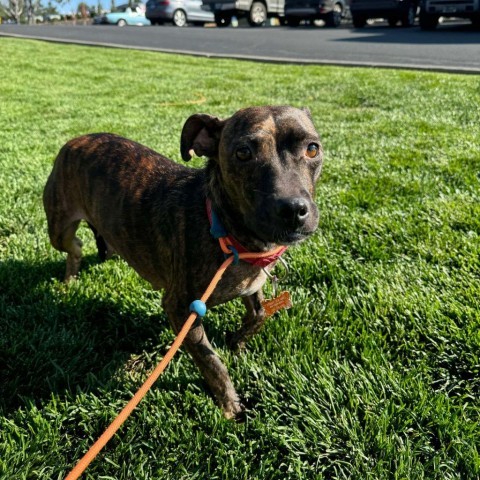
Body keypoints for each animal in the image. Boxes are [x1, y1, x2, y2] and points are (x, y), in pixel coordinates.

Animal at [43, 106, 324, 420]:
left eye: (312, 149)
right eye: (243, 153)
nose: (294, 209)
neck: (225, 233)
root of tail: (75, 140)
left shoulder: (252, 285)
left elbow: (259, 315)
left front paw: (236, 343)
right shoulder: (180, 309)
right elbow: (212, 362)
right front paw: (230, 406)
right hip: (59, 229)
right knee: (75, 247)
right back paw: (70, 279)